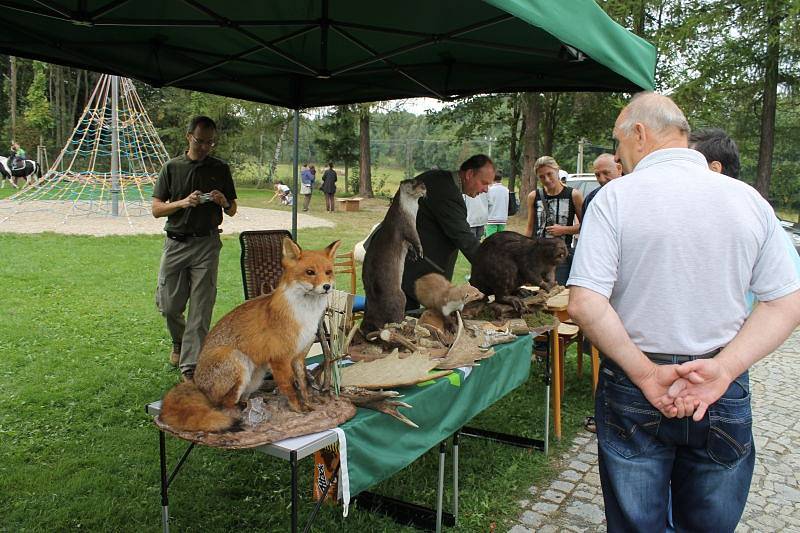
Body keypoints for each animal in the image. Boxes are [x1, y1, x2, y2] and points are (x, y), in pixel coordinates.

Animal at [159, 237, 340, 432]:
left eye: (328, 272)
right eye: (310, 272)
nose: (327, 286)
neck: (304, 315)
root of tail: (197, 383)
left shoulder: (299, 356)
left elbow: (304, 385)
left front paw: (307, 404)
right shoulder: (280, 359)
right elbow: (290, 387)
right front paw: (298, 408)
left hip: (256, 377)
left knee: (238, 398)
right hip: (236, 360)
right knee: (224, 405)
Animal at [360, 178, 428, 332]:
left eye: (422, 182)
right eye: (414, 182)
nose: (424, 186)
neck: (406, 210)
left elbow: (410, 246)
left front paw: (413, 255)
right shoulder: (407, 225)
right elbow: (415, 239)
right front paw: (420, 251)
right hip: (400, 297)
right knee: (395, 317)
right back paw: (404, 321)